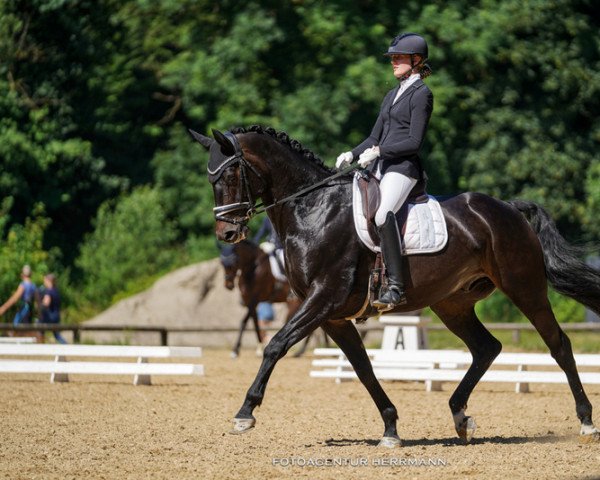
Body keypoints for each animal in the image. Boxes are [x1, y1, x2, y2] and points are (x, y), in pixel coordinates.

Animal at [192, 124, 600, 446]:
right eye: (211, 180)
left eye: (229, 176)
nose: (227, 233)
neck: (312, 208)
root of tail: (509, 208)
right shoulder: (332, 316)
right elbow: (363, 369)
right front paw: (390, 427)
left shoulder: (323, 299)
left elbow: (275, 346)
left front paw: (245, 412)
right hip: (452, 303)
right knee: (487, 348)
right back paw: (460, 416)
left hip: (524, 287)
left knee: (558, 345)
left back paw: (585, 421)